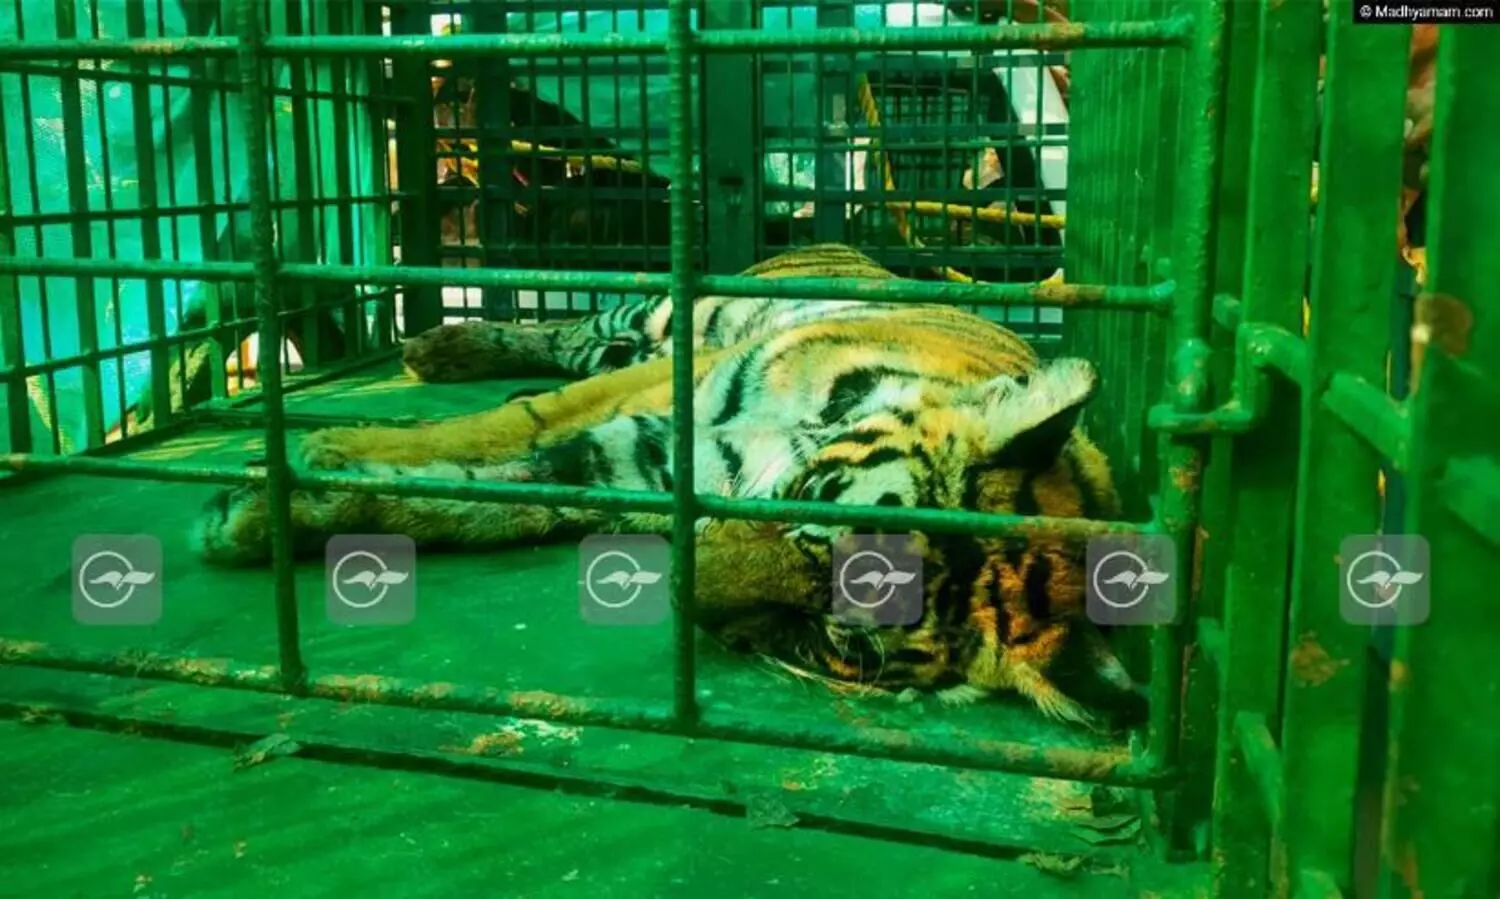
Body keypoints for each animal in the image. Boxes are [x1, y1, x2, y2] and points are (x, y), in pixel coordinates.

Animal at [192, 243, 1147, 731]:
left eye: (816, 640)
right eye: (812, 497)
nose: (682, 585)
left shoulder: (638, 457)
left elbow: (497, 491)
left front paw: (277, 508)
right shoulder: (671, 393)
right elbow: (507, 430)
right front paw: (309, 458)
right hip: (658, 318)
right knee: (570, 329)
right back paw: (439, 347)